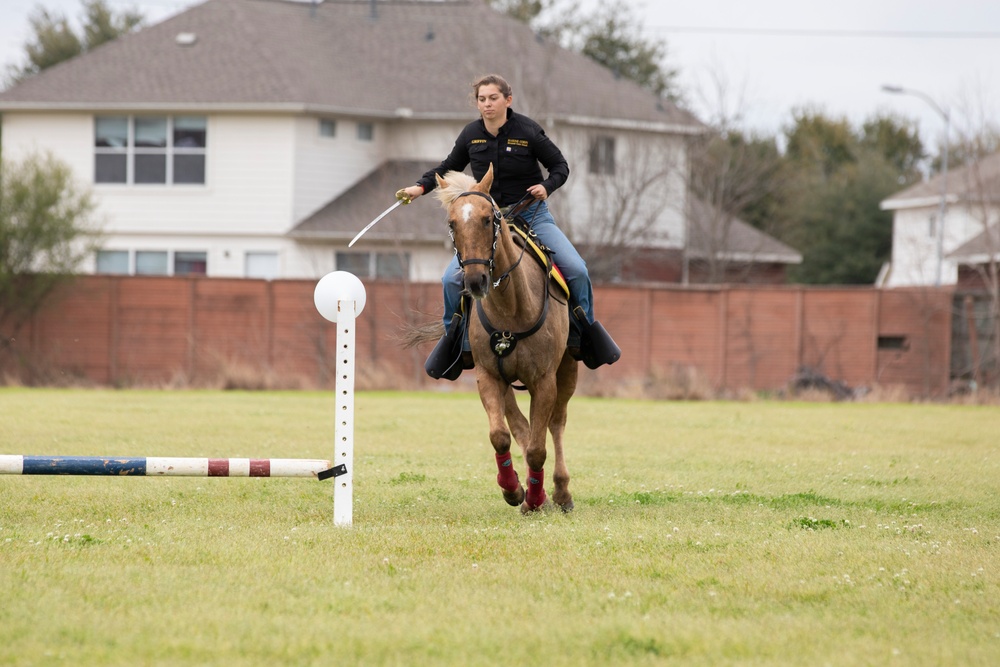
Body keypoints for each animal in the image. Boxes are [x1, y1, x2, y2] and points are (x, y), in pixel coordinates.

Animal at [432, 164, 580, 516]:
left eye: (489, 218)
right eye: (452, 223)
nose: (475, 281)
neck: (512, 307)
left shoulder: (544, 381)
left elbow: (540, 447)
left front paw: (537, 497)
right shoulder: (488, 376)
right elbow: (501, 435)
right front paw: (514, 489)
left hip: (567, 372)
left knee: (556, 425)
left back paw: (561, 491)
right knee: (519, 425)